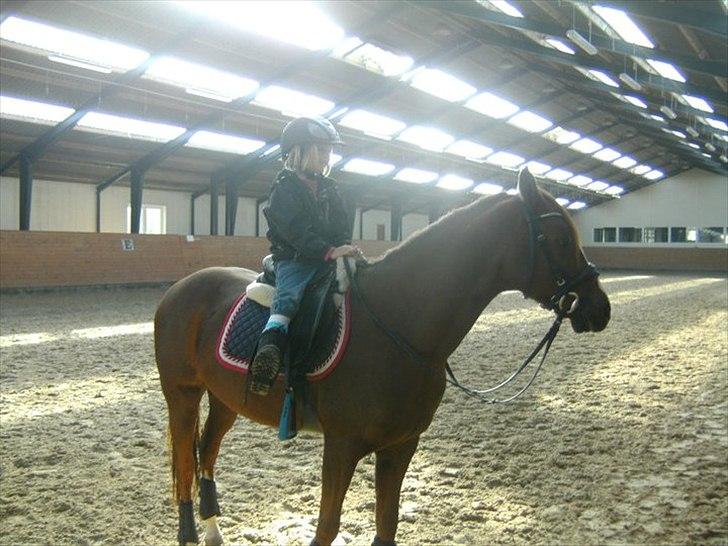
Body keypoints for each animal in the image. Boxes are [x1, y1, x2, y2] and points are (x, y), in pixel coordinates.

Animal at [156, 168, 612, 540]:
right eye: (559, 239)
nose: (600, 308)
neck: (400, 323)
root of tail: (180, 288)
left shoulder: (401, 445)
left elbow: (386, 526)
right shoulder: (341, 446)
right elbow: (327, 528)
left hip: (226, 398)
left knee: (206, 453)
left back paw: (214, 530)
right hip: (182, 395)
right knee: (184, 464)